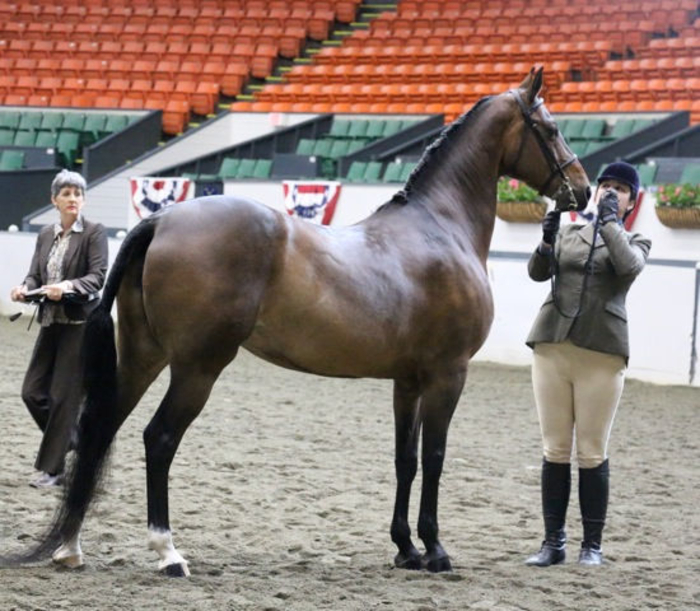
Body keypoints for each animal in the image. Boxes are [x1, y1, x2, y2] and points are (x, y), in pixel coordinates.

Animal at [2, 68, 588, 580]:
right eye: (551, 128)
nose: (581, 190)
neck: (438, 228)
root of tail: (162, 218)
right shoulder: (448, 375)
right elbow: (436, 457)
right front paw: (436, 550)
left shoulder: (408, 380)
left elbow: (405, 458)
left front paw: (405, 549)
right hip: (197, 367)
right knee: (158, 438)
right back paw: (168, 553)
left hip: (143, 357)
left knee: (99, 429)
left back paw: (70, 547)